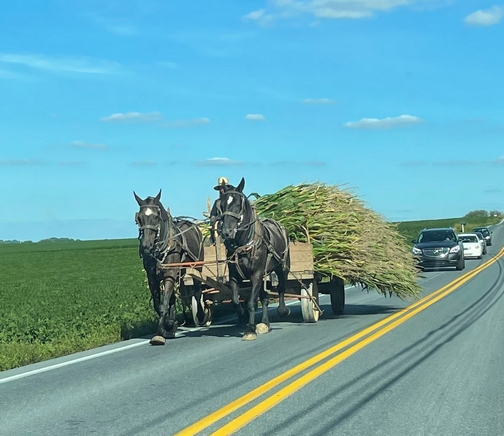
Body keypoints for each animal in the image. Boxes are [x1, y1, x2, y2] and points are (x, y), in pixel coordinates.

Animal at [134, 189, 207, 346]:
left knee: (197, 291)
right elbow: (159, 304)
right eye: (139, 218)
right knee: (175, 296)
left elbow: (164, 304)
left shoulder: (169, 274)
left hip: (197, 267)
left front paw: (159, 333)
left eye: (156, 217)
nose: (146, 246)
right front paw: (168, 325)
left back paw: (201, 315)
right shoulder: (153, 278)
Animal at [217, 178, 292, 340]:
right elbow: (235, 300)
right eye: (222, 204)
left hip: (282, 267)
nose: (226, 232)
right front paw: (243, 316)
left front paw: (250, 329)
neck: (243, 244)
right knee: (264, 297)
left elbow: (251, 302)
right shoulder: (234, 276)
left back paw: (282, 310)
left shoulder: (256, 274)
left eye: (238, 204)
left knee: (281, 287)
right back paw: (265, 323)